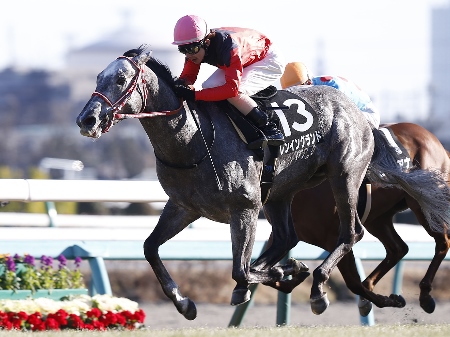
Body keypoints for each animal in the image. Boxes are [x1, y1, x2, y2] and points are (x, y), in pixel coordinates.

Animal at [268, 122, 450, 316]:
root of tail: (438, 143)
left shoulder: (335, 236)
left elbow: (352, 282)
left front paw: (318, 296)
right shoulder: (282, 236)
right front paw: (297, 270)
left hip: (421, 202)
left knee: (442, 242)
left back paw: (425, 296)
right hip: (378, 220)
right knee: (398, 248)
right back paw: (370, 286)